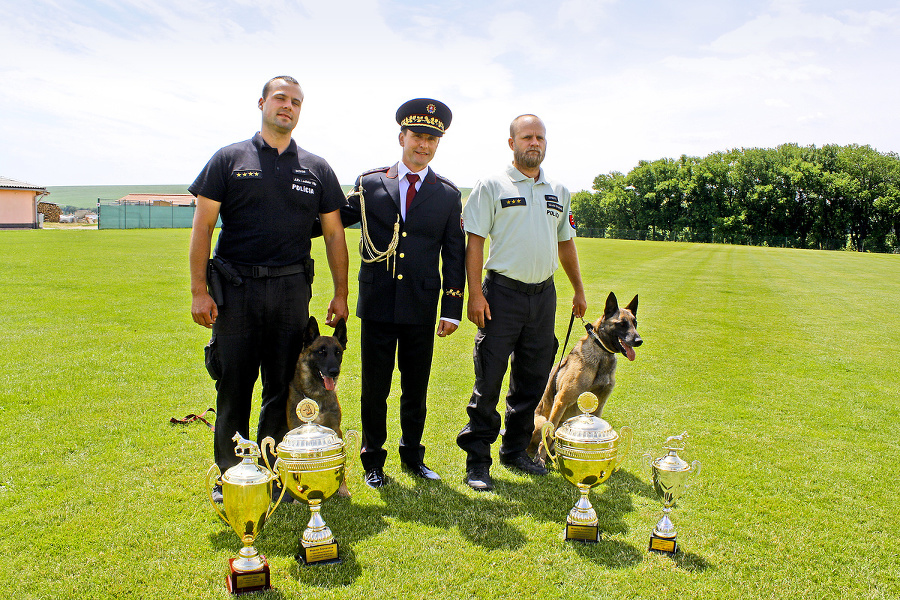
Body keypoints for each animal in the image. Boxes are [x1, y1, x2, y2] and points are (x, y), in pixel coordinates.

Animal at [286, 314, 350, 496]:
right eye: (321, 352)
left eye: (338, 352)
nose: (334, 372)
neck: (315, 396)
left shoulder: (336, 430)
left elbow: (341, 464)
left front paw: (342, 489)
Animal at [528, 290, 640, 464]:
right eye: (621, 324)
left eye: (635, 323)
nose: (639, 340)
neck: (602, 353)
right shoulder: (561, 400)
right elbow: (548, 435)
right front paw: (540, 459)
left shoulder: (599, 406)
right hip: (541, 421)